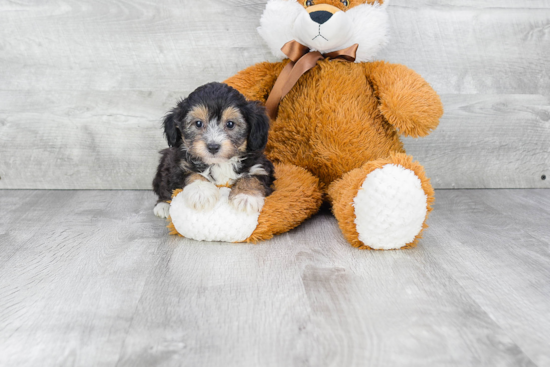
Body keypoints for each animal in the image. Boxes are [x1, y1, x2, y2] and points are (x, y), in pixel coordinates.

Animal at [153, 82, 276, 218]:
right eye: (198, 123)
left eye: (230, 124)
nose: (213, 146)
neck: (219, 163)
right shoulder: (178, 165)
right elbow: (192, 173)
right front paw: (201, 192)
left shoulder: (261, 164)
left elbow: (253, 176)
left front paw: (246, 196)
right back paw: (163, 205)